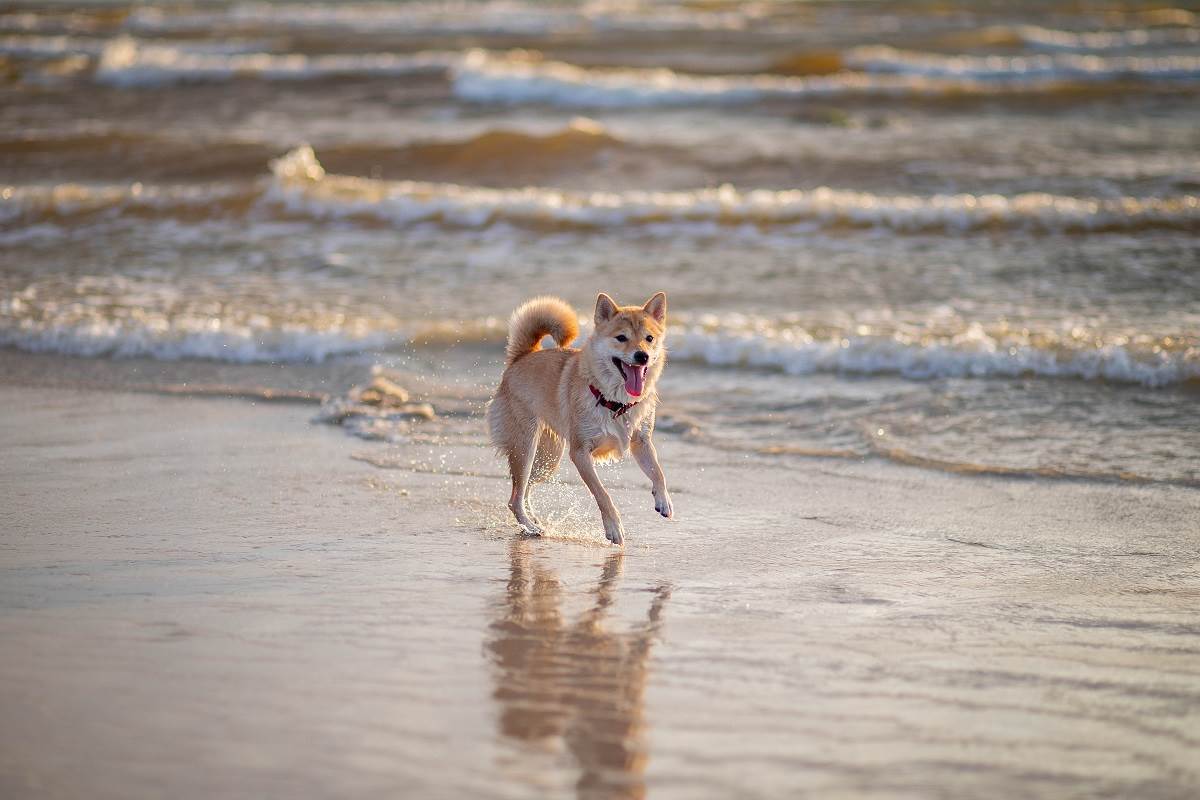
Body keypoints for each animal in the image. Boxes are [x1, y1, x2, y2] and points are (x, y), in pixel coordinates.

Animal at [489, 291, 676, 546]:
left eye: (649, 338)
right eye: (621, 338)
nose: (642, 356)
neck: (614, 401)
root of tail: (522, 357)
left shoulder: (641, 442)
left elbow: (658, 472)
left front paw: (663, 501)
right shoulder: (580, 453)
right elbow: (602, 493)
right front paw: (614, 529)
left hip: (547, 458)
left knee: (524, 490)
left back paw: (533, 520)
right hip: (525, 447)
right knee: (514, 498)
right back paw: (532, 528)